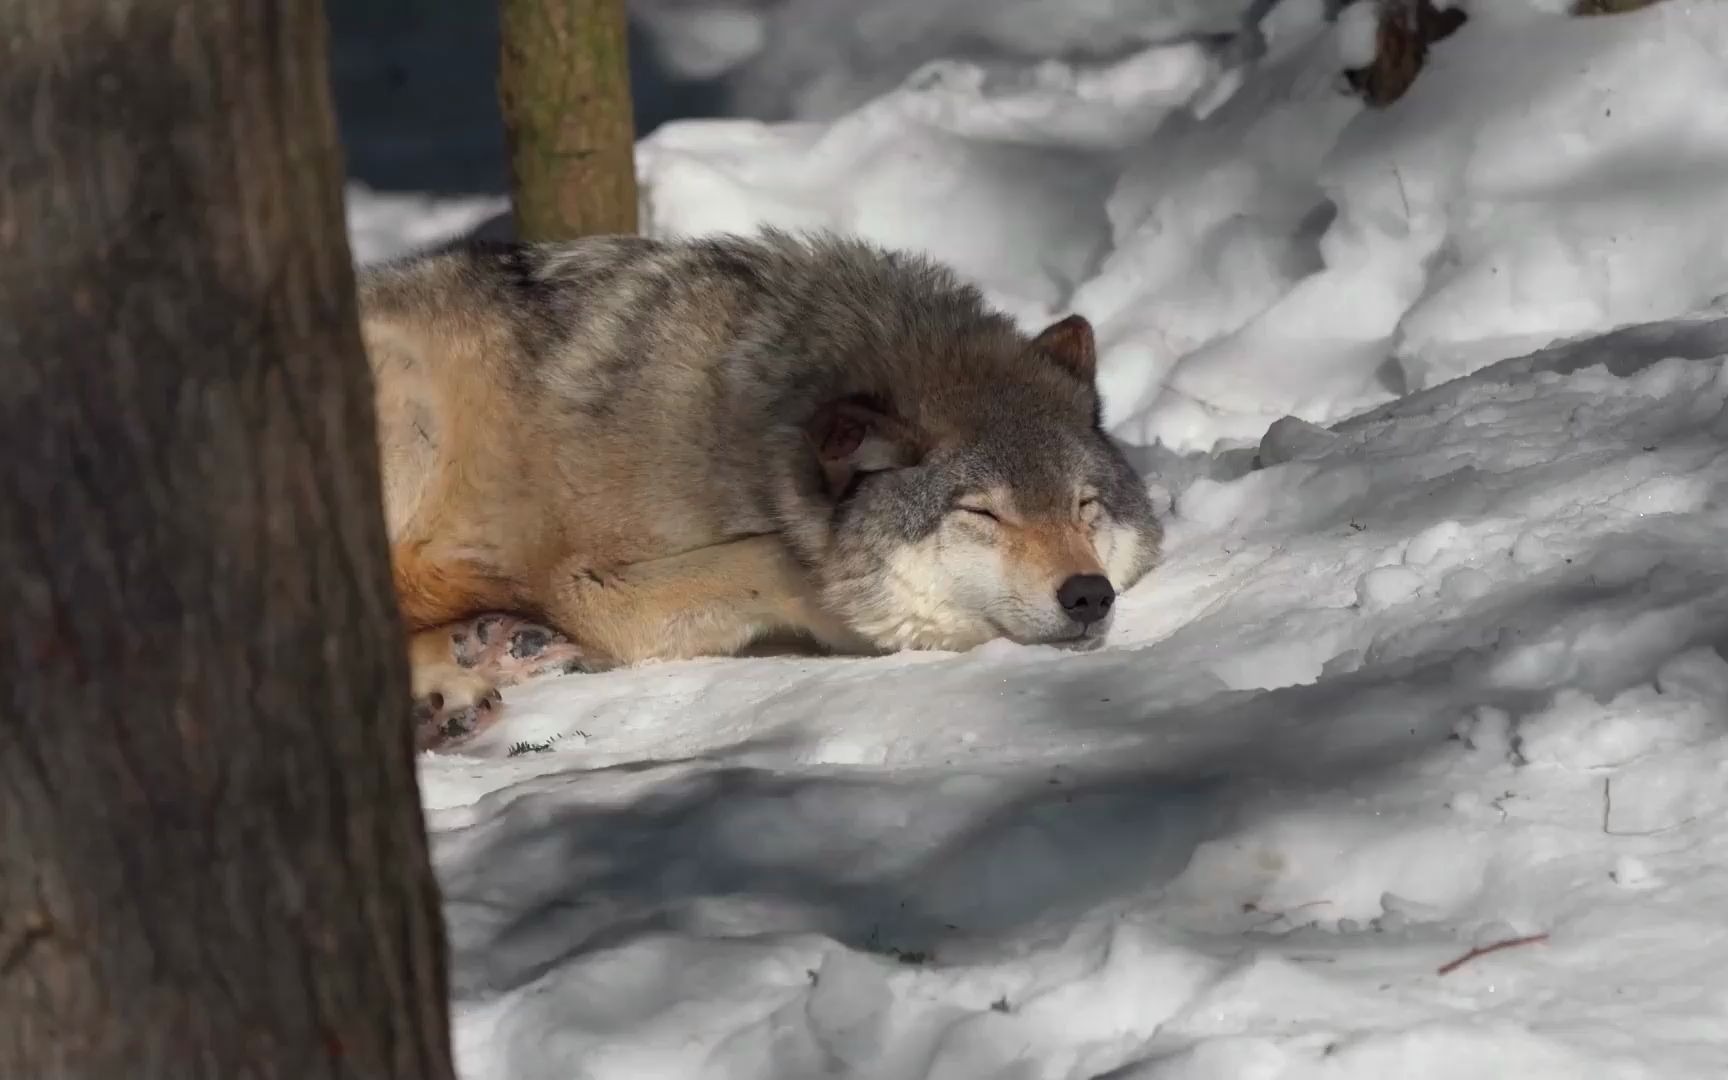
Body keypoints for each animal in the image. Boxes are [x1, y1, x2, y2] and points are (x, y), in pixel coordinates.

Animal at [361, 231, 1161, 746]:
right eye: (983, 513)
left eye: (1084, 506)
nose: (1088, 595)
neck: (752, 439)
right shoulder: (590, 586)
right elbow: (778, 563)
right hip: (404, 398)